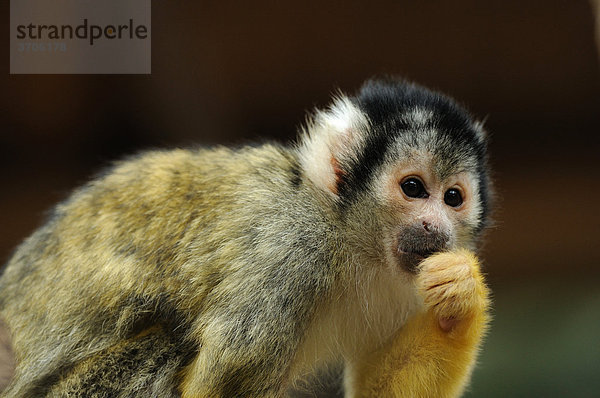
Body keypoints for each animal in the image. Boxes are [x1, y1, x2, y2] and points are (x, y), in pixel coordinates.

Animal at [0, 77, 492, 394]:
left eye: (452, 197)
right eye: (413, 188)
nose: (435, 225)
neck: (345, 239)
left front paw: (461, 296)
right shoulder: (288, 256)